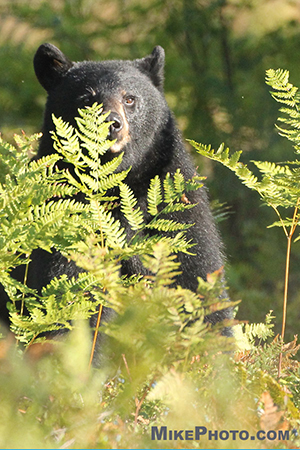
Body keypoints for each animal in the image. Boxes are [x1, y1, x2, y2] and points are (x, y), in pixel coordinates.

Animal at [0, 44, 231, 352]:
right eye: (86, 99)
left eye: (130, 98)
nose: (111, 124)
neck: (120, 186)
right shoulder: (68, 222)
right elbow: (71, 295)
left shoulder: (179, 208)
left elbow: (197, 279)